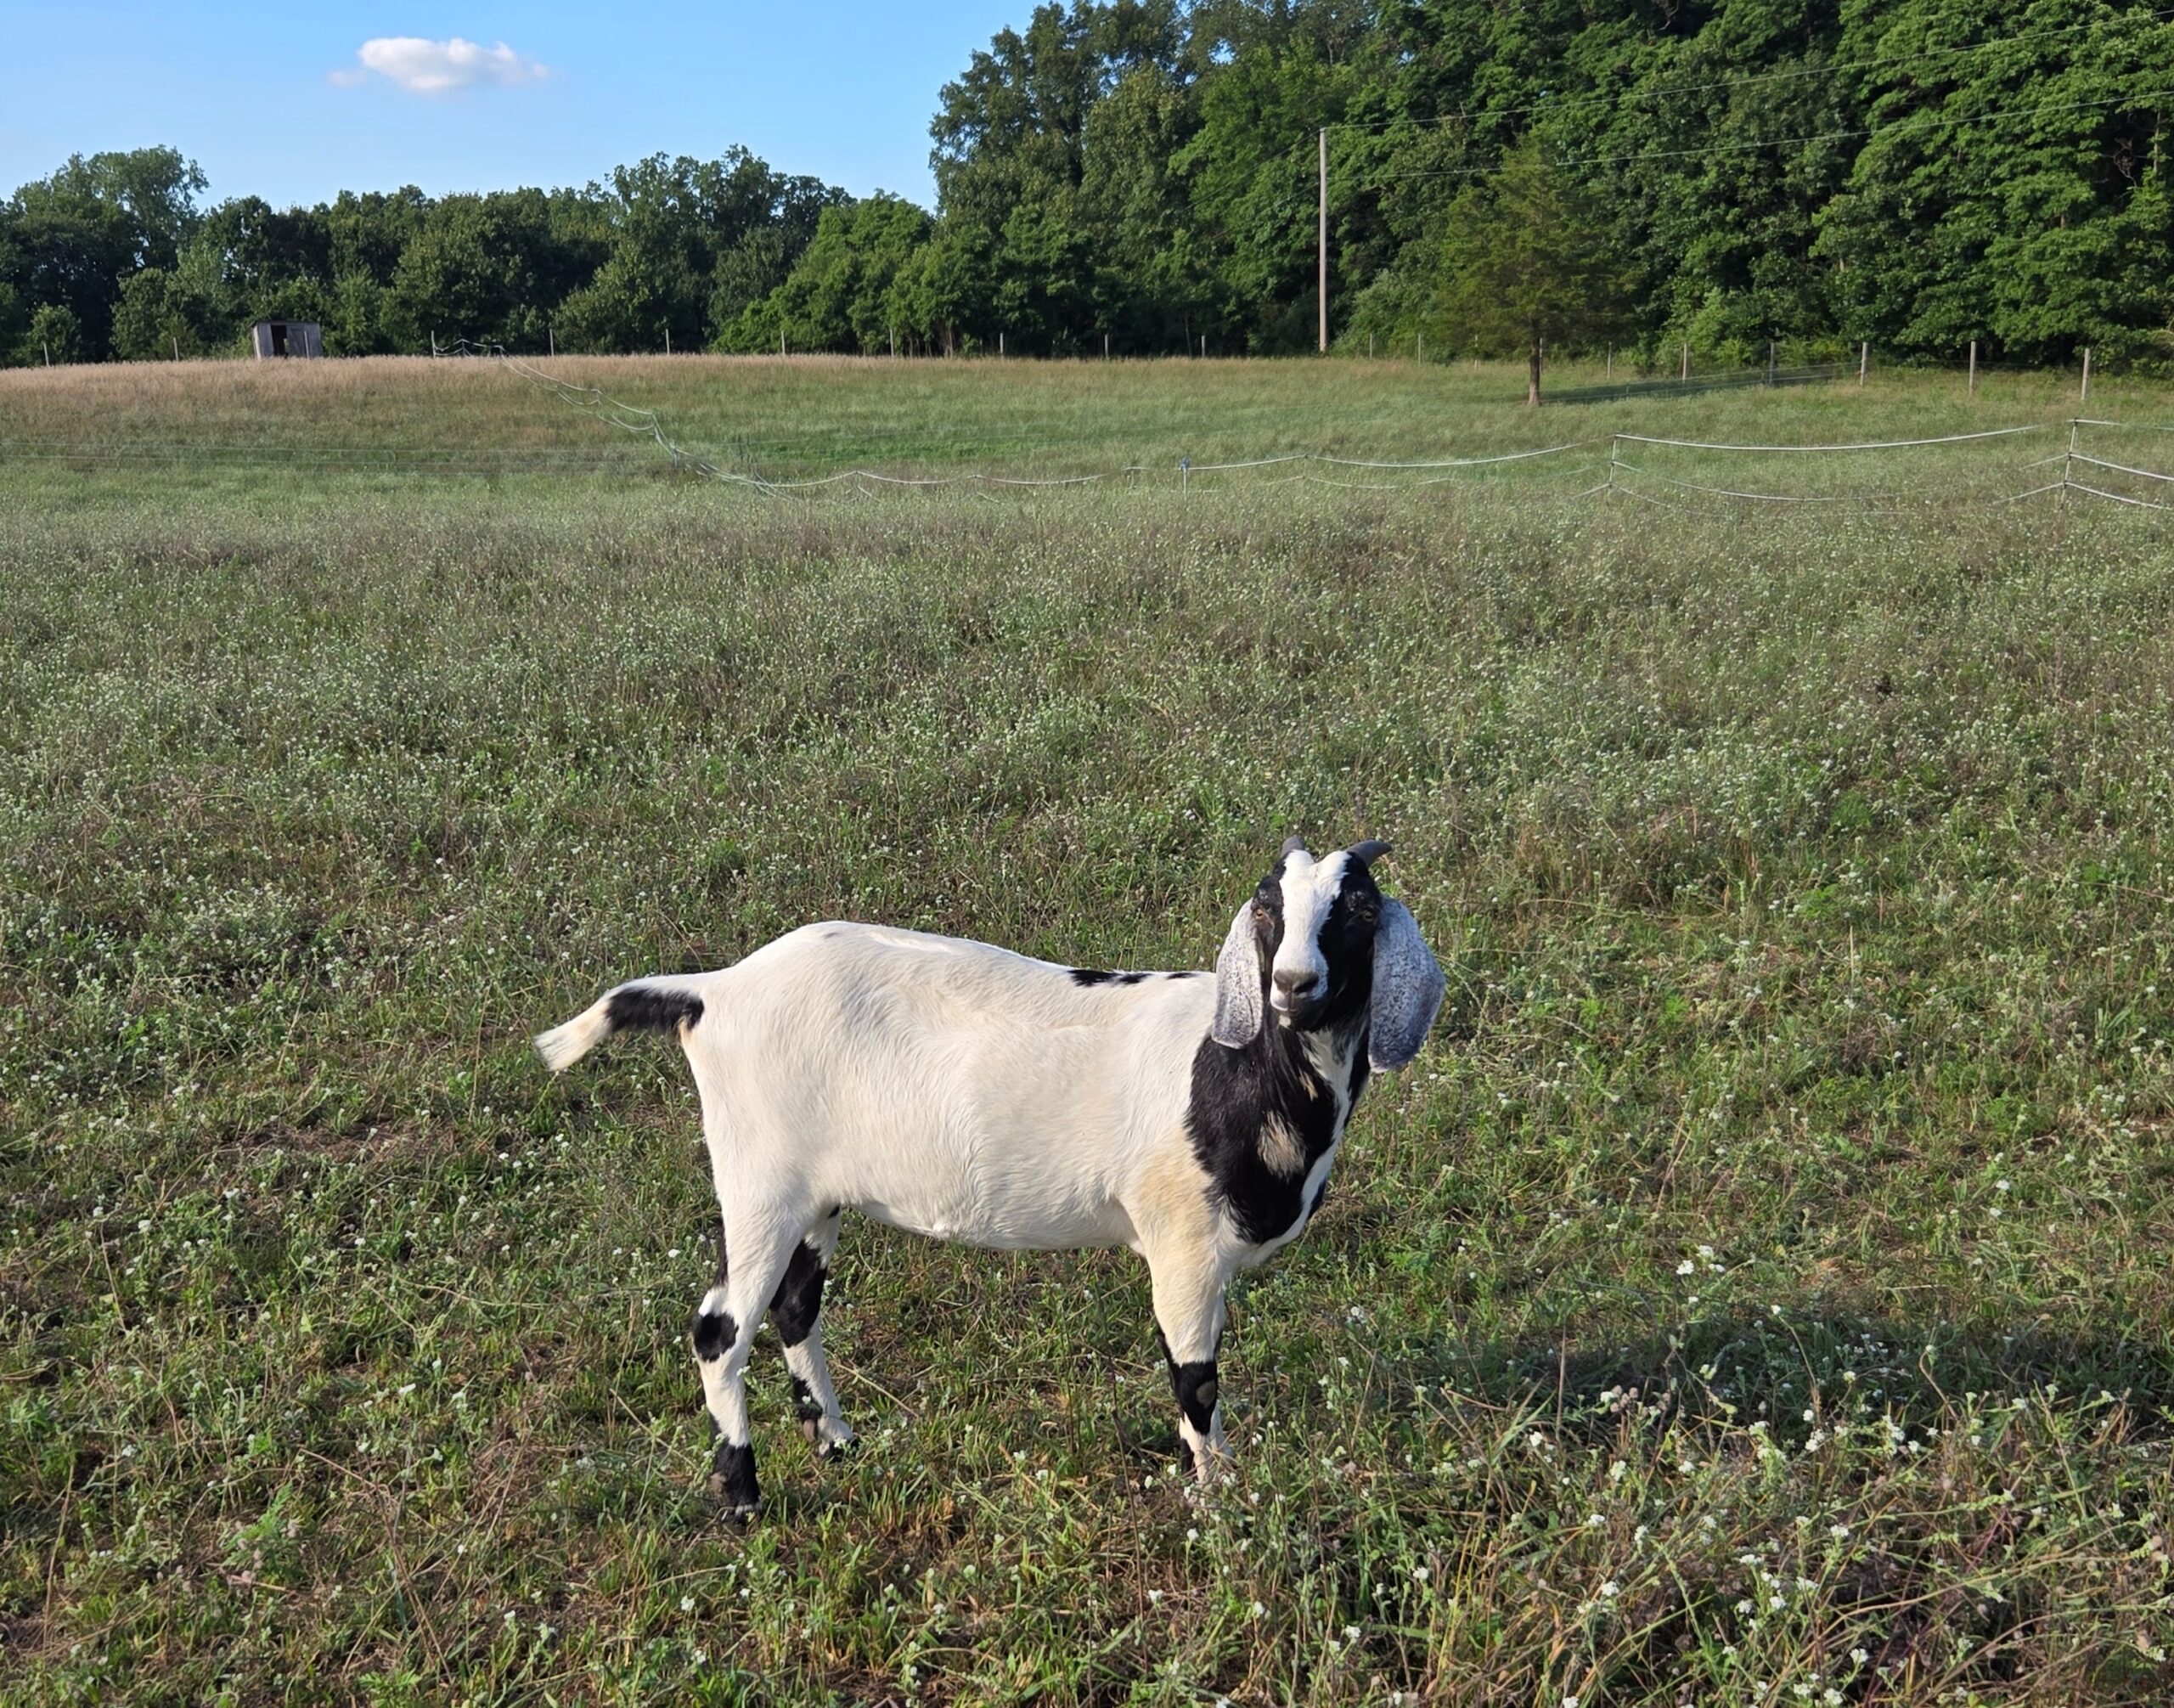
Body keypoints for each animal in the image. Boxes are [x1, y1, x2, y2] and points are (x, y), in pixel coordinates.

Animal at [534, 837, 1444, 1515]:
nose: (1293, 984)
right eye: (1265, 906)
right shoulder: (1182, 1245)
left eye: (1359, 908)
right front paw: (1221, 1501)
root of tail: (711, 993)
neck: (1240, 1070)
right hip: (759, 1183)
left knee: (796, 1308)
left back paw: (839, 1443)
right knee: (719, 1329)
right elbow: (1196, 1380)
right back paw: (744, 1495)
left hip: (816, 1197)